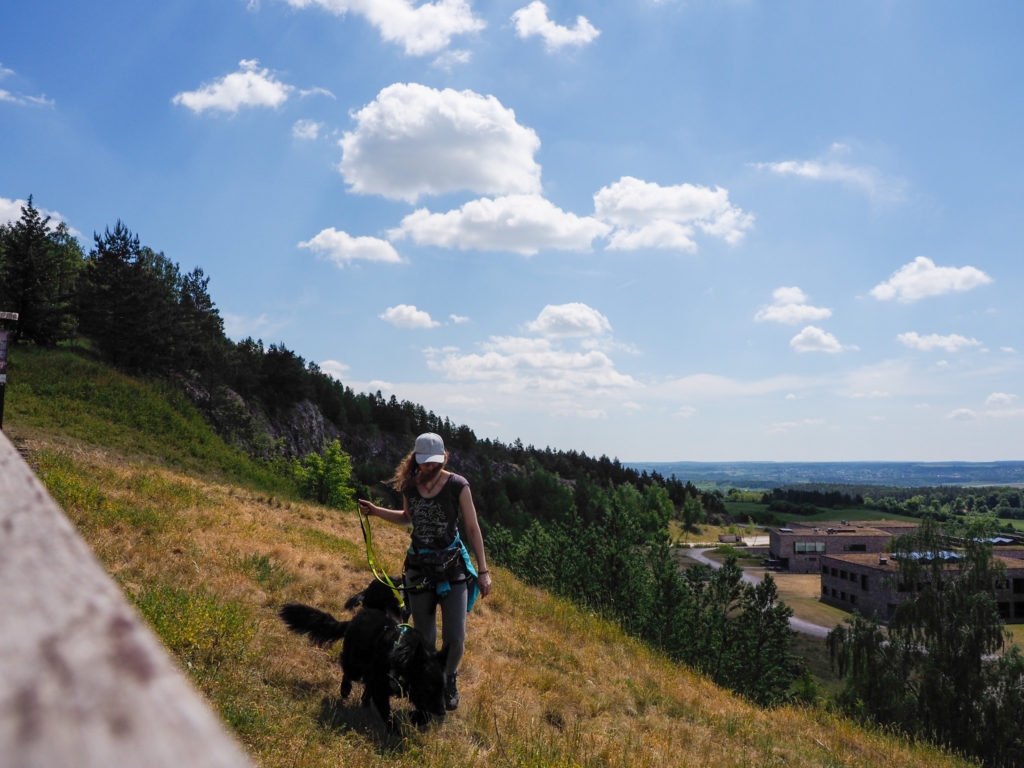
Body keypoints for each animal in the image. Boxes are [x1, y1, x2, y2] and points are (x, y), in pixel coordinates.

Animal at [280, 581, 444, 729]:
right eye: (429, 686)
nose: (442, 710)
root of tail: (355, 618)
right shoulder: (380, 685)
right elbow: (386, 712)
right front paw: (396, 732)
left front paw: (418, 718)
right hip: (355, 662)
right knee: (348, 673)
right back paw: (345, 690)